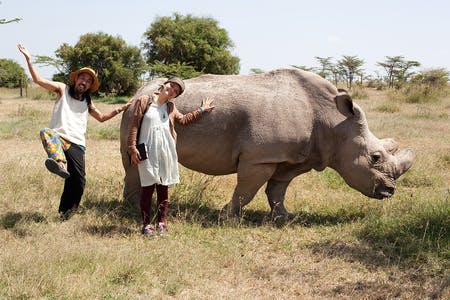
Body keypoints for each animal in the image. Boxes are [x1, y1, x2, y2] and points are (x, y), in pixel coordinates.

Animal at [118, 69, 414, 221]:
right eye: (375, 157)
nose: (389, 191)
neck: (334, 122)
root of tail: (139, 91)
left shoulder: (294, 156)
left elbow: (277, 190)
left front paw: (284, 217)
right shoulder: (260, 157)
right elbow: (246, 190)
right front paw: (228, 218)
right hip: (134, 113)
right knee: (133, 161)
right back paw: (132, 210)